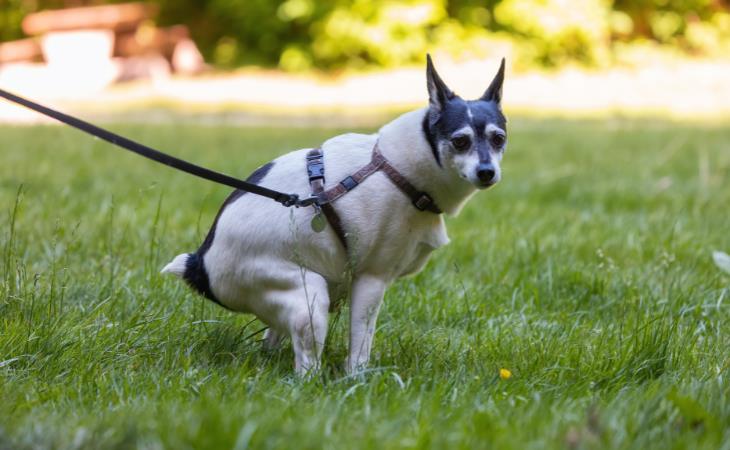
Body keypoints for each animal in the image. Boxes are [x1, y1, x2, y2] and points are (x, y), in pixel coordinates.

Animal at [163, 54, 506, 374]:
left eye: (498, 138)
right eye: (459, 141)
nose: (487, 172)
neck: (396, 168)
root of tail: (200, 265)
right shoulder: (371, 281)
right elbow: (361, 344)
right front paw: (358, 378)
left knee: (274, 339)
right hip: (308, 298)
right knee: (305, 367)